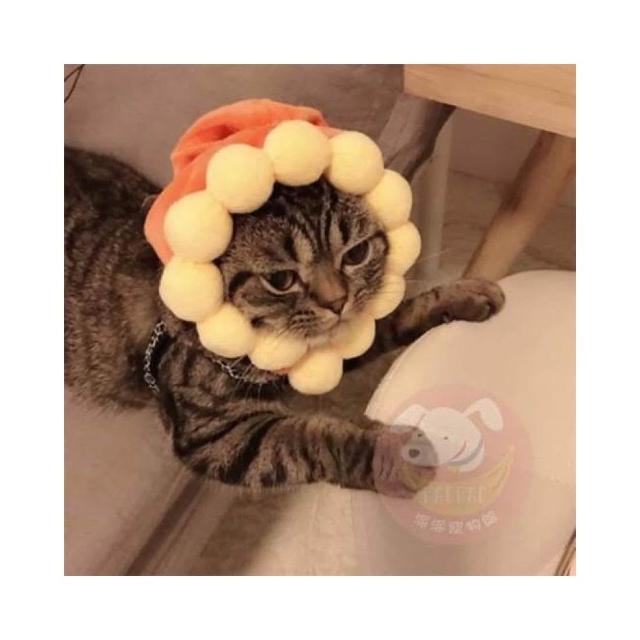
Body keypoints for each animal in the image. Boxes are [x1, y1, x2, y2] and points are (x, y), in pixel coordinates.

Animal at [64, 147, 504, 497]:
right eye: (280, 280)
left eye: (356, 254)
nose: (337, 302)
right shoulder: (215, 433)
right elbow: (307, 439)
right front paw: (392, 456)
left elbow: (391, 317)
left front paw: (459, 296)